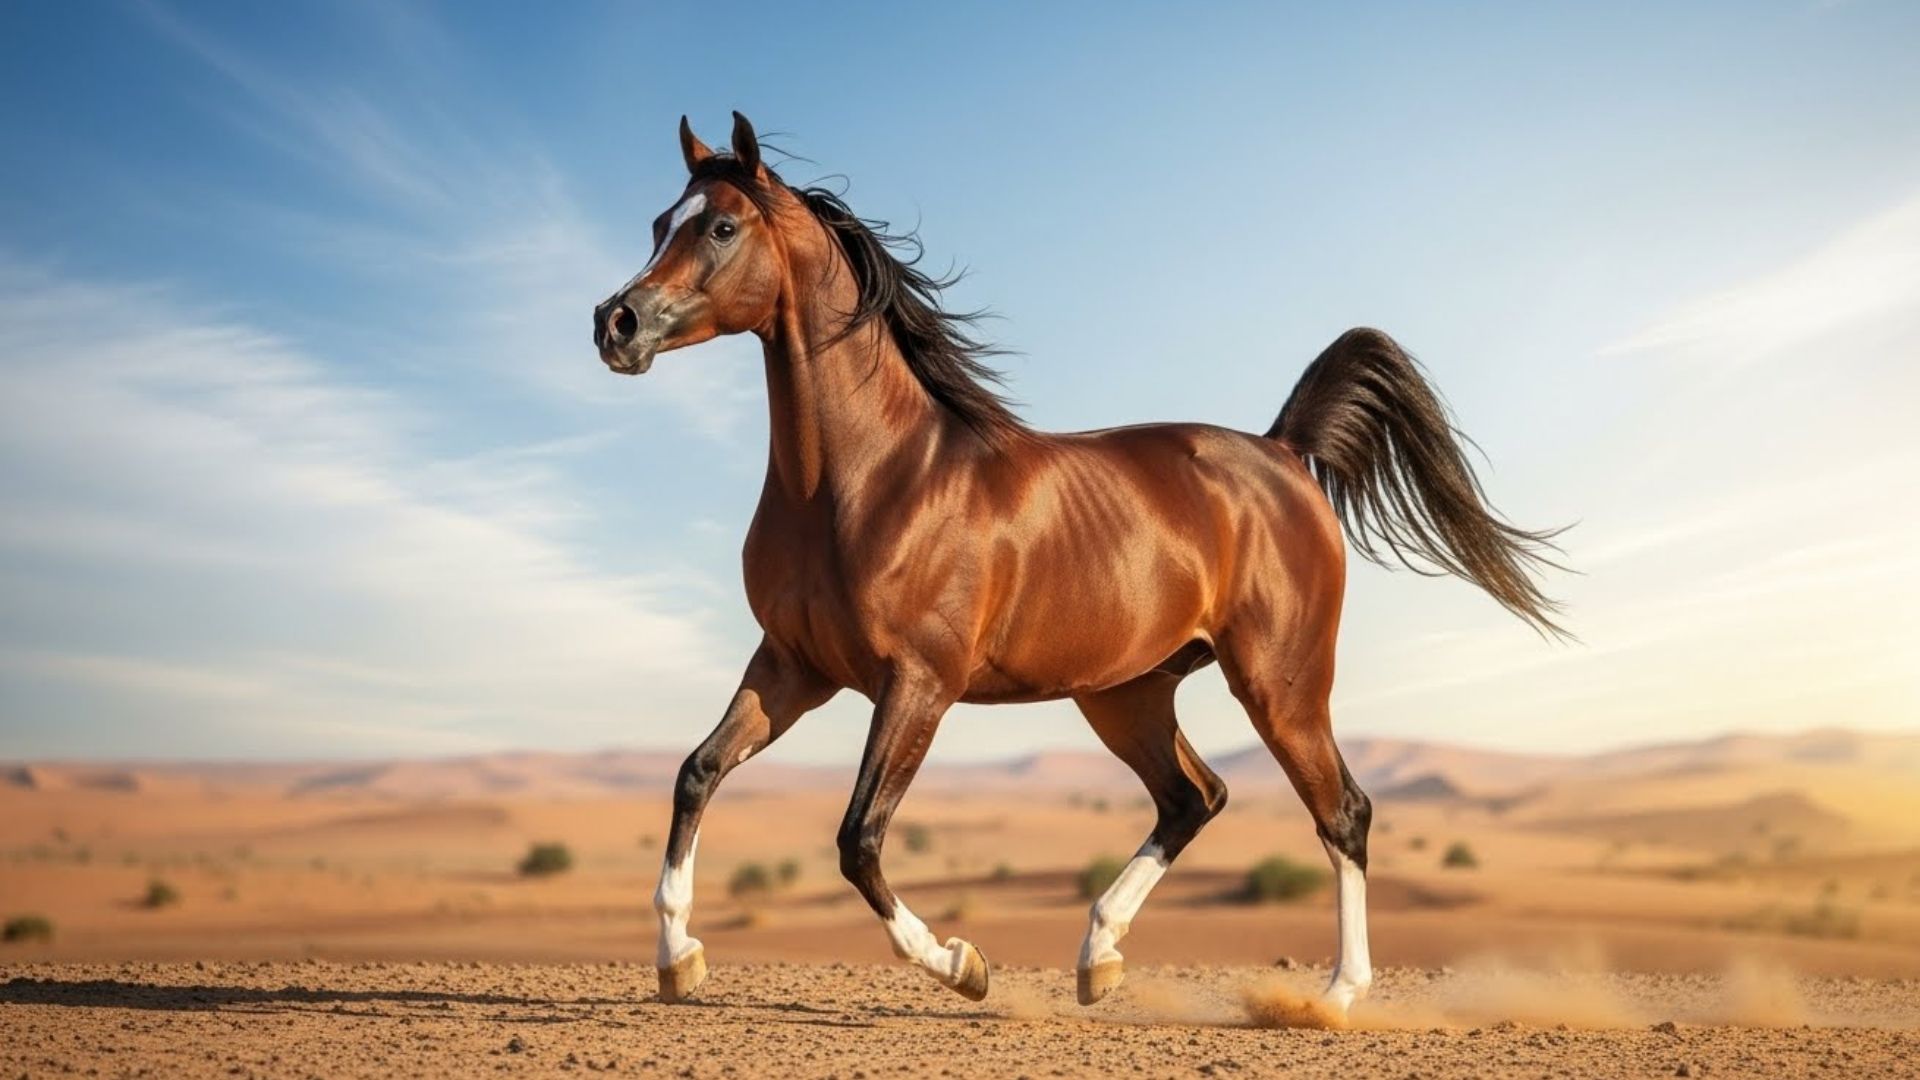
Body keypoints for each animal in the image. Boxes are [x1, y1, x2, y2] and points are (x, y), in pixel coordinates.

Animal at [592, 112, 1565, 1015]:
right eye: (660, 221)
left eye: (721, 227)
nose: (616, 323)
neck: (869, 475)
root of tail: (1283, 453)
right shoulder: (794, 666)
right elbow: (697, 773)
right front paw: (679, 959)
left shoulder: (918, 683)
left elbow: (858, 838)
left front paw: (965, 966)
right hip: (1127, 693)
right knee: (1194, 797)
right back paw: (1099, 957)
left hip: (1279, 682)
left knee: (1341, 812)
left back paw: (1332, 997)